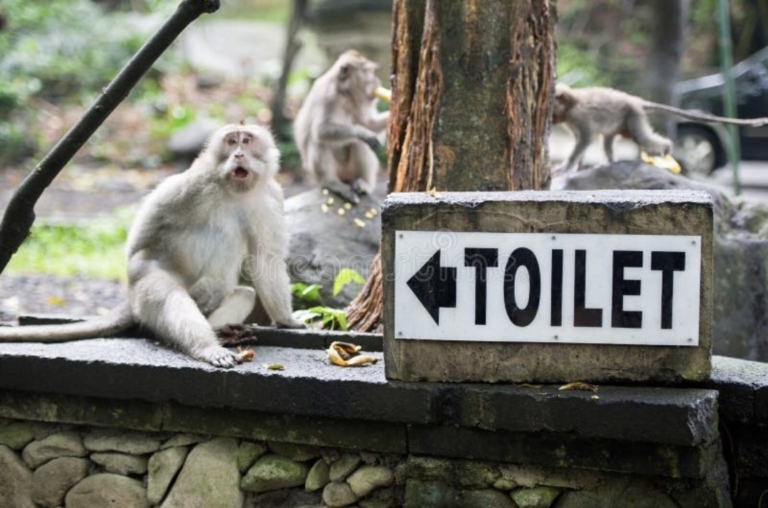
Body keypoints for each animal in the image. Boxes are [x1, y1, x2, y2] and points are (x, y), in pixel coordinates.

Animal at [0, 124, 304, 368]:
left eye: (247, 141)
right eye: (231, 141)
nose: (238, 154)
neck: (235, 191)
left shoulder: (271, 197)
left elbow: (266, 259)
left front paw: (286, 320)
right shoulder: (197, 180)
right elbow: (141, 237)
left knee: (244, 293)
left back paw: (223, 331)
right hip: (144, 291)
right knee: (169, 294)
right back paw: (208, 346)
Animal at [293, 50, 389, 203]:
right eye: (368, 72)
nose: (377, 81)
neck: (345, 93)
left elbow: (369, 124)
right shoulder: (327, 95)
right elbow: (321, 130)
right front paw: (362, 132)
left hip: (351, 171)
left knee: (358, 144)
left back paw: (364, 183)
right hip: (321, 174)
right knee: (320, 141)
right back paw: (332, 183)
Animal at [552, 82, 768, 174]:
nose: (550, 119)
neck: (571, 103)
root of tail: (635, 101)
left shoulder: (580, 116)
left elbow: (585, 139)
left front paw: (566, 166)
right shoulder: (573, 121)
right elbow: (581, 140)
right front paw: (577, 166)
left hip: (633, 116)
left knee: (641, 138)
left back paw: (667, 148)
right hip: (626, 118)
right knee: (608, 139)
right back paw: (609, 162)